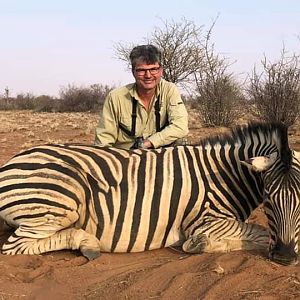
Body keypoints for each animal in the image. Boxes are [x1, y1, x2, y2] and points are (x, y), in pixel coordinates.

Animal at [0, 122, 298, 264]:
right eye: (268, 197)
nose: (285, 257)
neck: (225, 175)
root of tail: (11, 161)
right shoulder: (206, 221)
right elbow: (261, 234)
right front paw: (200, 245)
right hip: (63, 197)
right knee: (15, 246)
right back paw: (87, 242)